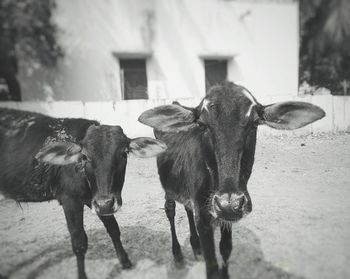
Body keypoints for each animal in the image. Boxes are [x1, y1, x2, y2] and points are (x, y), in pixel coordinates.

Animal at [0, 107, 167, 279]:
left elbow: (113, 229)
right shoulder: (71, 201)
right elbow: (79, 242)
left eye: (124, 154)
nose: (106, 203)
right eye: (85, 156)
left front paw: (125, 262)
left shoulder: (96, 201)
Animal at [137, 81, 326, 279]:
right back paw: (178, 254)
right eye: (202, 125)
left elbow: (226, 248)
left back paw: (195, 246)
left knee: (187, 210)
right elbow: (211, 263)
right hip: (168, 188)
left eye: (254, 123)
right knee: (170, 211)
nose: (228, 204)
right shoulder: (204, 218)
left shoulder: (223, 218)